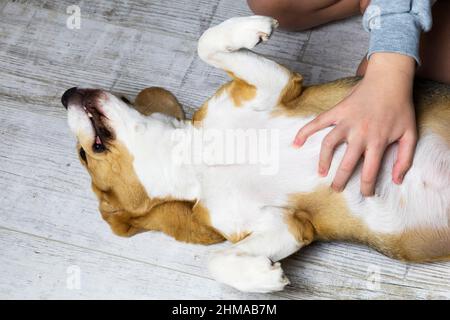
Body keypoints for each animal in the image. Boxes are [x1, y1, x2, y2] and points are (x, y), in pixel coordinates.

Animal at [62, 16, 450, 292]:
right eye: (82, 155)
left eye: (125, 97)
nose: (67, 93)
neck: (197, 162)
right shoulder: (285, 224)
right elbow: (216, 261)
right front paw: (264, 277)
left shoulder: (274, 87)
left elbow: (205, 42)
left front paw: (251, 27)